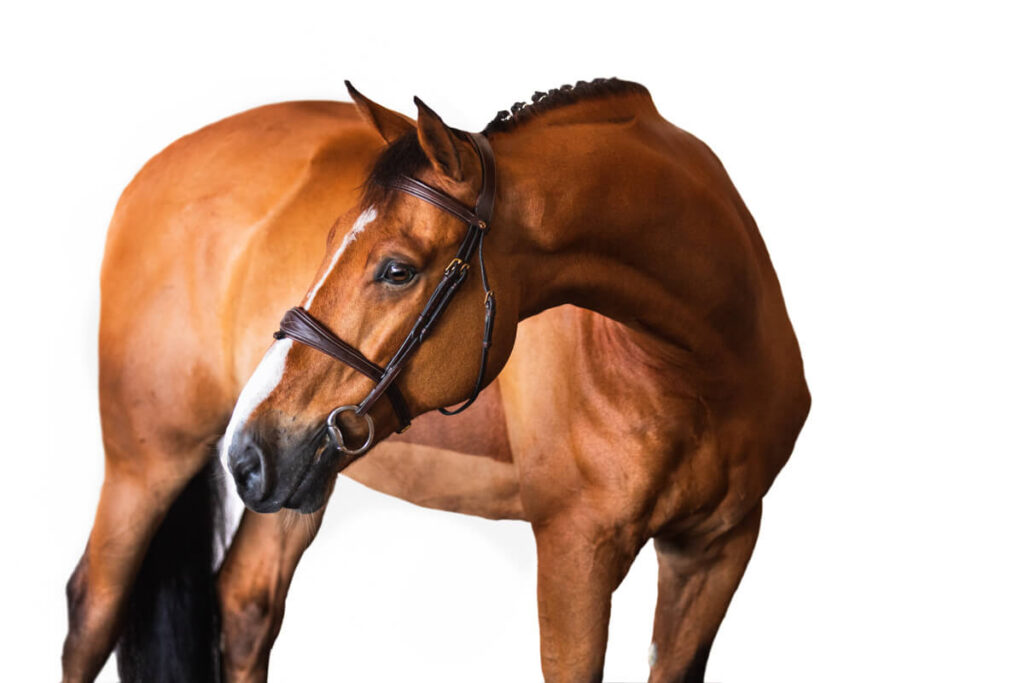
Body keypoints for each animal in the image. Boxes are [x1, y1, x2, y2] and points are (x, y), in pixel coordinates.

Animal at [61, 78, 810, 683]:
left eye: (397, 269)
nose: (246, 450)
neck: (693, 368)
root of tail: (154, 168)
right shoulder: (576, 554)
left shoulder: (715, 552)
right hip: (152, 458)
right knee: (92, 609)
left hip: (299, 483)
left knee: (245, 606)